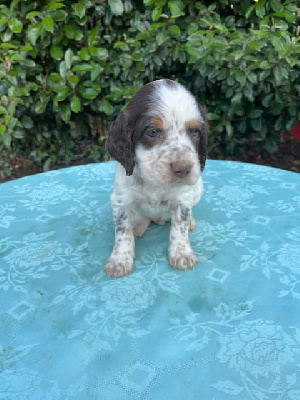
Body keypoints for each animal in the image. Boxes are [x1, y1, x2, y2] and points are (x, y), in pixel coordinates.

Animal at [105, 79, 209, 278]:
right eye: (153, 132)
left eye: (195, 133)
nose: (183, 169)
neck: (155, 182)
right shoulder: (121, 200)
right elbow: (122, 231)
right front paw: (120, 260)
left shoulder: (183, 199)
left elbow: (180, 226)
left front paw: (182, 253)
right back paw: (138, 226)